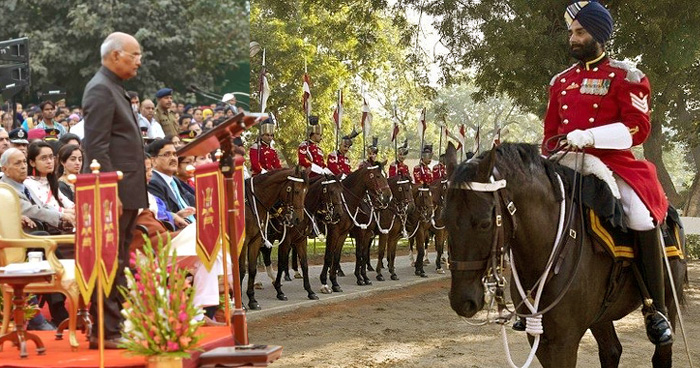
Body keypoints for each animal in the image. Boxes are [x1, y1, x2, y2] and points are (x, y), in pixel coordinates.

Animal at [239, 167, 308, 310]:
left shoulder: (255, 241)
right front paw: (241, 304)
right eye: (297, 191)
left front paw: (252, 300)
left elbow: (252, 269)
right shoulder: (243, 242)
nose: (298, 219)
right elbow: (241, 270)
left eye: (306, 191)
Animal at [446, 143, 688, 368]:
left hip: (669, 300)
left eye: (485, 223)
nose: (462, 301)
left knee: (661, 353)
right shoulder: (540, 337)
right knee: (611, 351)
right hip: (600, 316)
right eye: (443, 219)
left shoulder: (565, 340)